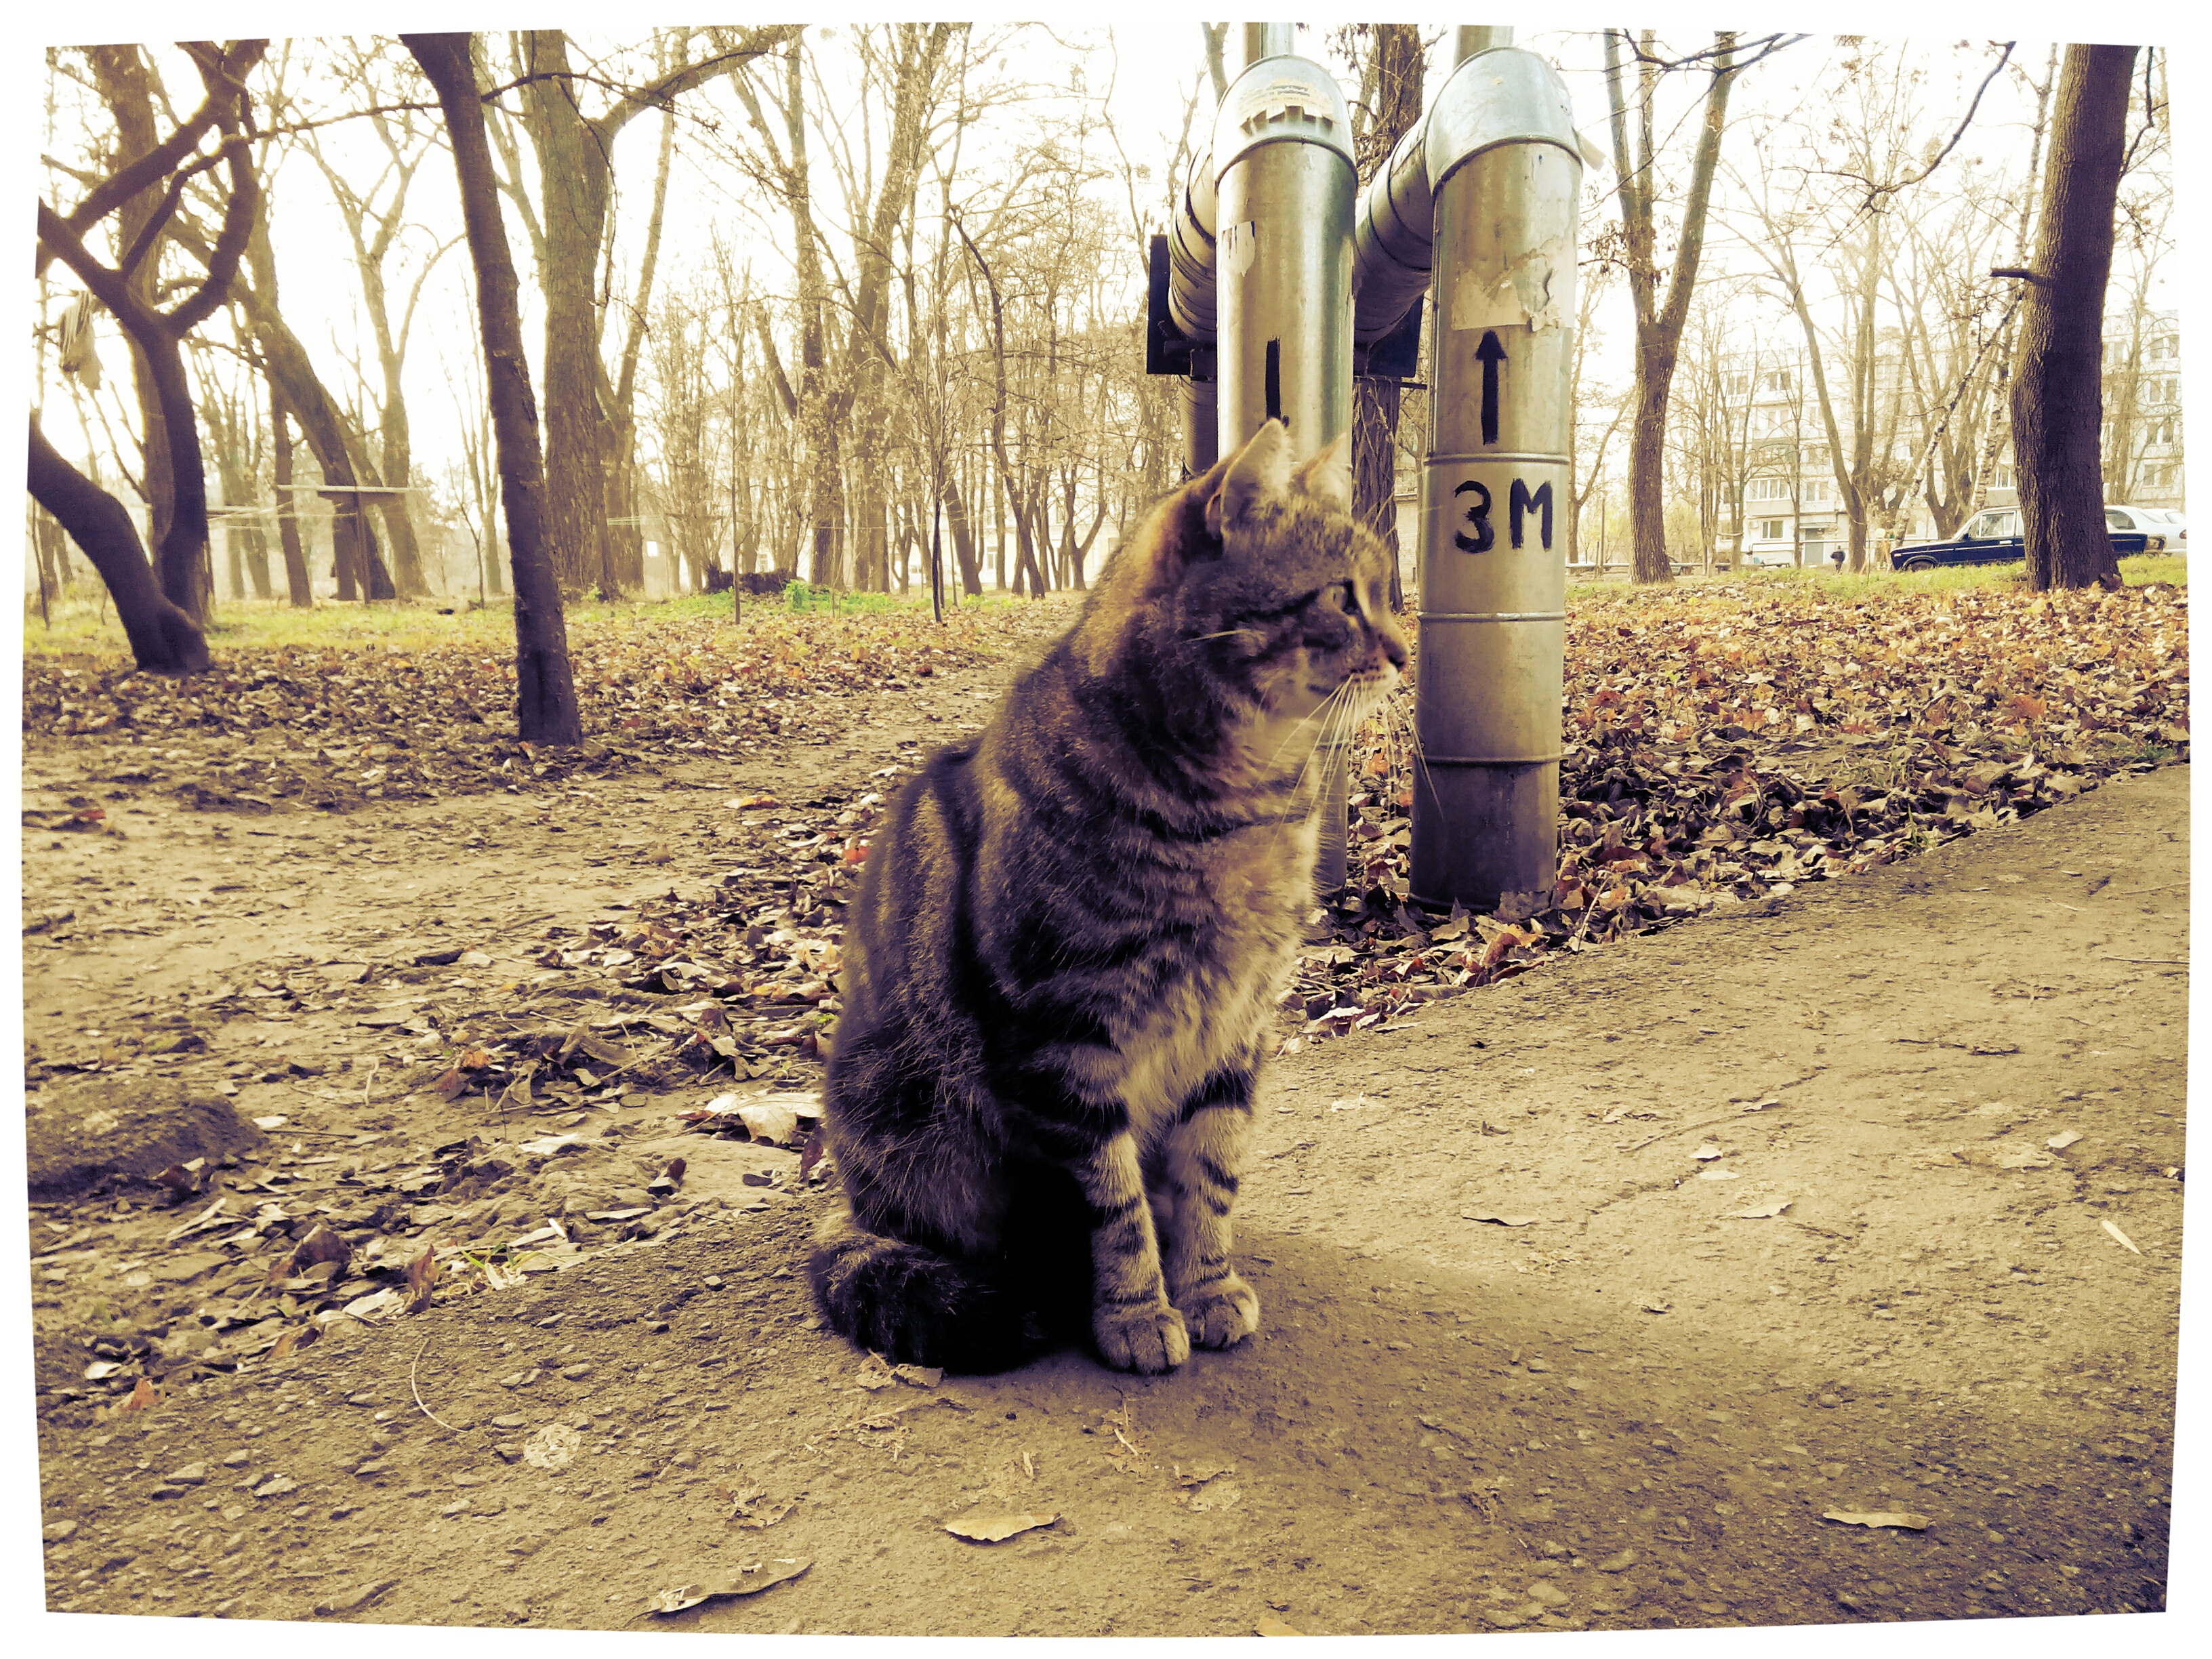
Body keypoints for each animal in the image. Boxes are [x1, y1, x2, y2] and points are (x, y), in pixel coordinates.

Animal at [809, 417, 1397, 1380]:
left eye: (1384, 594)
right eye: (1345, 599)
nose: (1405, 650)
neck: (1240, 807)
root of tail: (848, 1205)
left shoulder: (1236, 1024)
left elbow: (1211, 1174)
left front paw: (1204, 1286)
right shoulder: (1064, 1037)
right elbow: (1110, 1205)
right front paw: (1135, 1311)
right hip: (911, 1111)